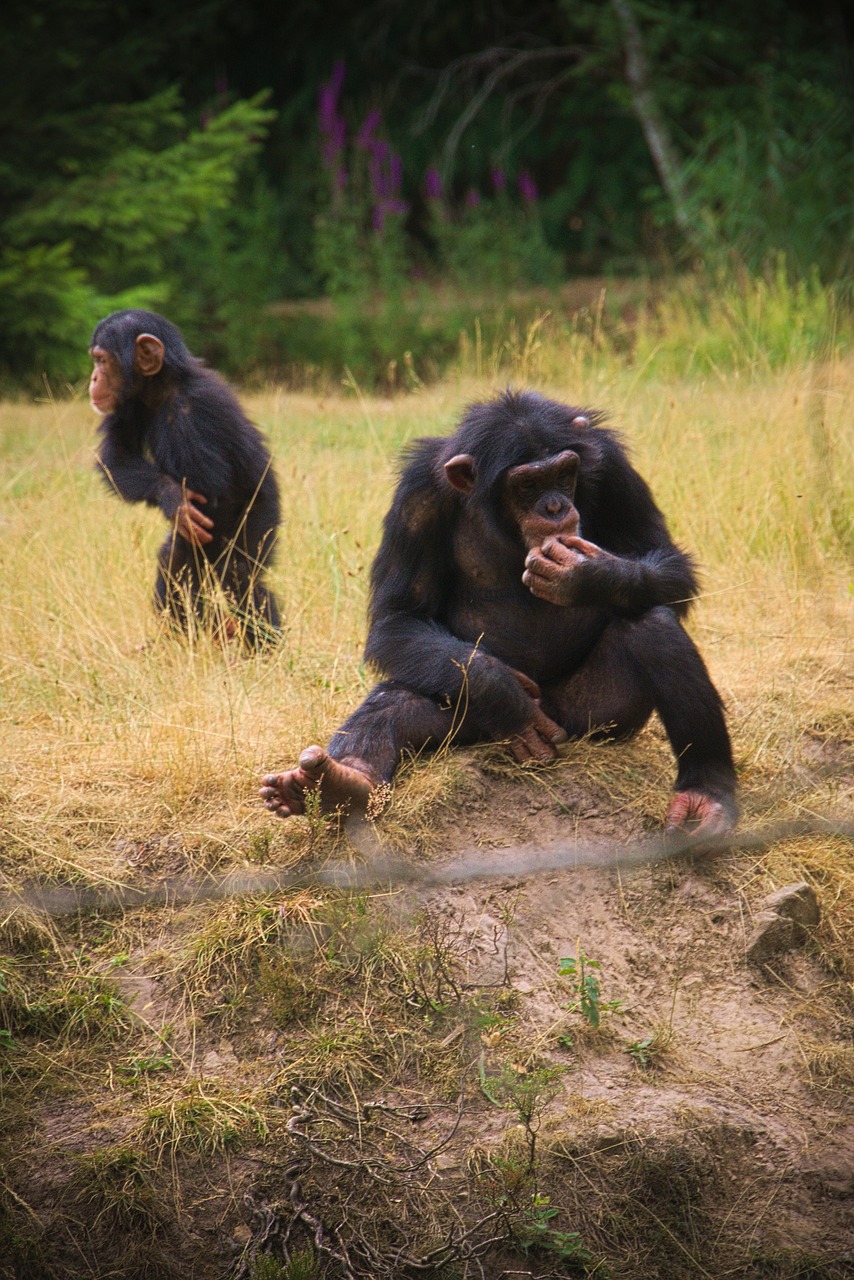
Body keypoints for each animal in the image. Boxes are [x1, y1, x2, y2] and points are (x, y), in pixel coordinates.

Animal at [92, 311, 281, 650]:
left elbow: (212, 505)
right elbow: (117, 453)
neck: (164, 387)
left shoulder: (190, 418)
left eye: (102, 361)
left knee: (239, 573)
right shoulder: (128, 405)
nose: (94, 378)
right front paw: (172, 497)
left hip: (263, 514)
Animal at [258, 389, 737, 839]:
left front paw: (587, 575)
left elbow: (667, 559)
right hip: (475, 728)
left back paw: (705, 792)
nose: (554, 507)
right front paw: (505, 694)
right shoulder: (417, 498)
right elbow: (398, 616)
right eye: (527, 484)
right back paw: (338, 784)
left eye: (564, 474)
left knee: (654, 628)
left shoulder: (615, 467)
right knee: (397, 700)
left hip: (598, 717)